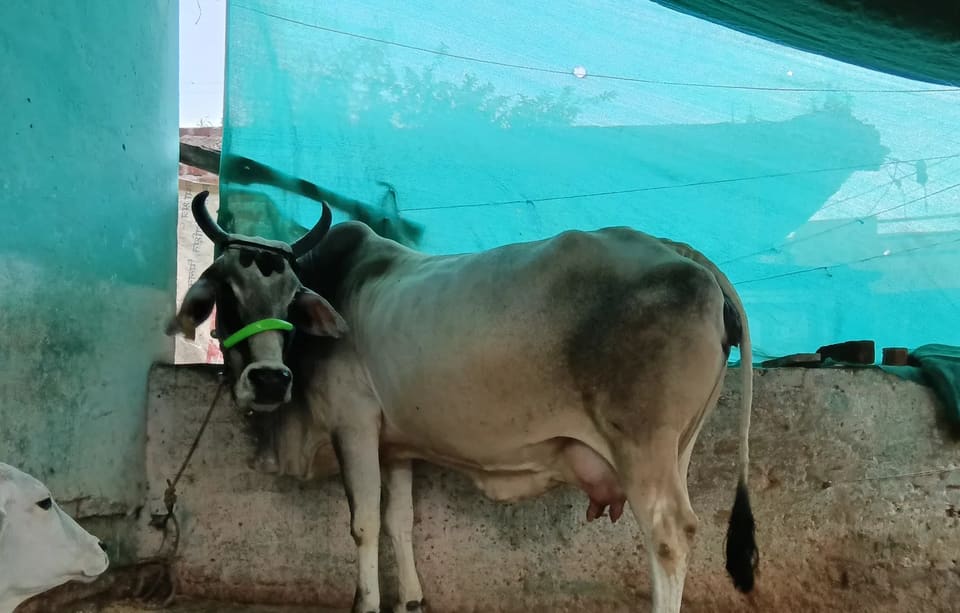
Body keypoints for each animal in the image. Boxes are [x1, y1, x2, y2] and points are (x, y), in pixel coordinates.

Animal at [169, 191, 758, 613]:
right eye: (225, 291)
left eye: (292, 296)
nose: (270, 380)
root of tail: (679, 252)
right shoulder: (395, 447)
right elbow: (398, 521)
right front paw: (411, 600)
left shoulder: (352, 426)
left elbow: (363, 523)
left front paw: (366, 603)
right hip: (678, 448)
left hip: (643, 448)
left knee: (669, 537)